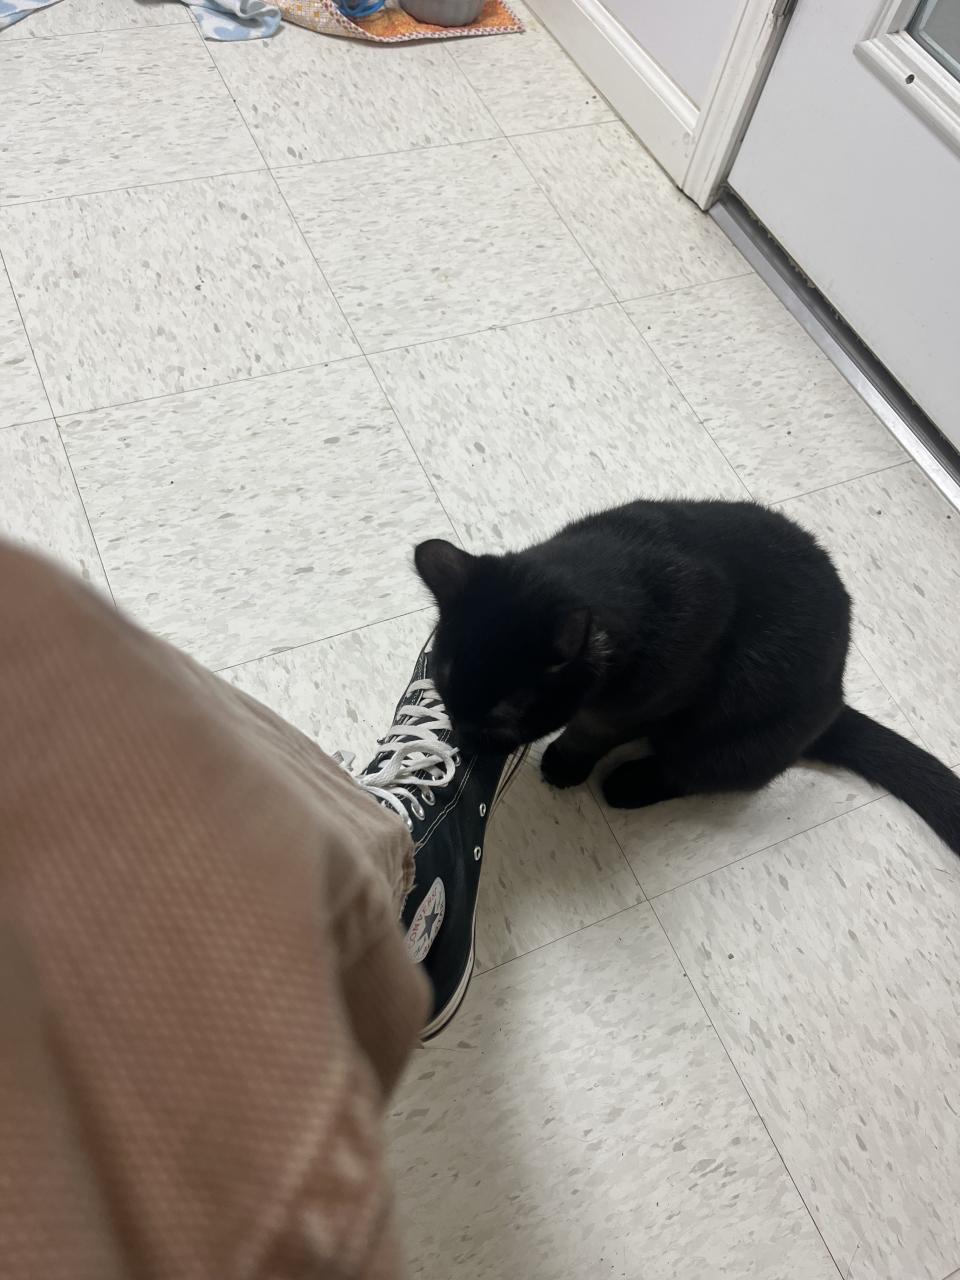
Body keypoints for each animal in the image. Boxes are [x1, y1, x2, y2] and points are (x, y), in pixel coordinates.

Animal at [414, 498, 960, 857]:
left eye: (504, 713)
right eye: (442, 676)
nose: (462, 738)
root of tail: (837, 700)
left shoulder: (655, 695)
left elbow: (594, 729)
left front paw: (566, 762)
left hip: (733, 729)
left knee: (704, 770)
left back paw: (628, 782)